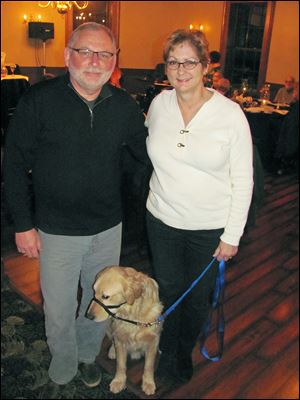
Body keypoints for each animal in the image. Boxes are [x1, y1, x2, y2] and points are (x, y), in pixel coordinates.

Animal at [85, 268, 163, 396]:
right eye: (94, 292)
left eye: (105, 296)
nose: (88, 316)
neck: (132, 314)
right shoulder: (119, 338)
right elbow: (120, 364)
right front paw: (118, 381)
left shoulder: (153, 339)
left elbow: (149, 365)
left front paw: (148, 383)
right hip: (109, 325)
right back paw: (112, 351)